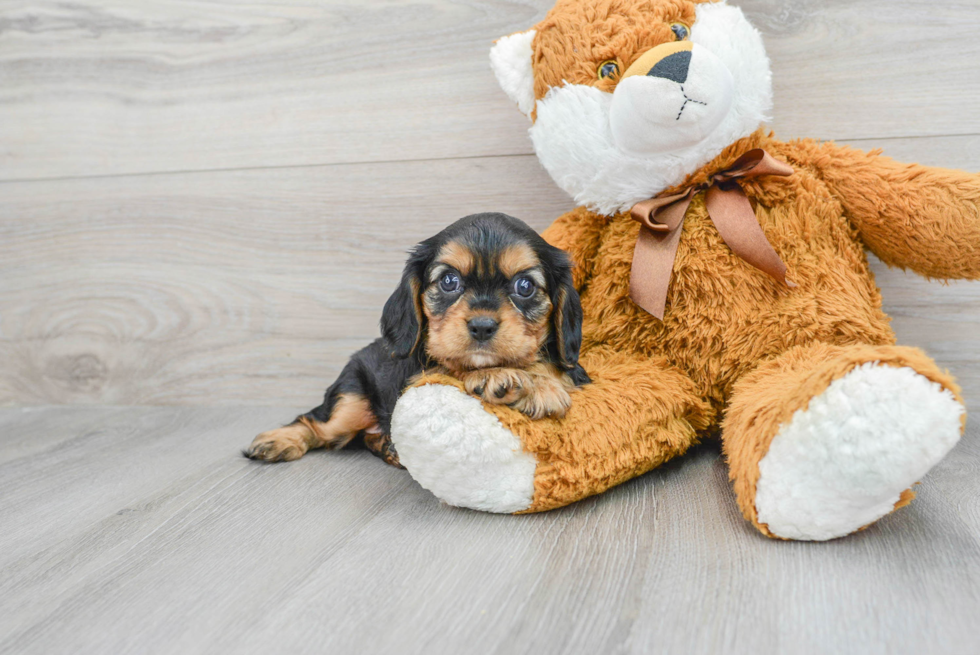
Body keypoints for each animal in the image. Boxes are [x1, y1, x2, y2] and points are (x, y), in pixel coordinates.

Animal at [244, 213, 588, 468]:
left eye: (525, 286)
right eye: (449, 281)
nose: (481, 326)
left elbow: (554, 367)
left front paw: (538, 382)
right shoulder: (418, 375)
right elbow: (451, 365)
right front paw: (503, 377)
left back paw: (389, 447)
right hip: (350, 399)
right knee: (316, 422)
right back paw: (279, 440)